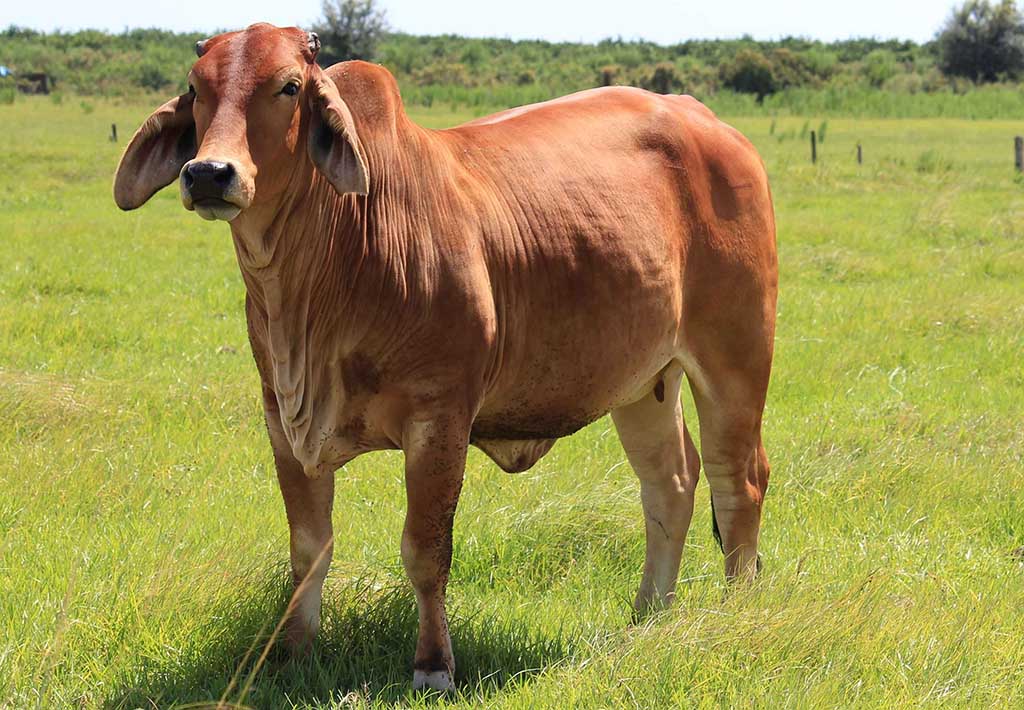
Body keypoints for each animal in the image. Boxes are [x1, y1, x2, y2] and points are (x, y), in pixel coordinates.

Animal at [113, 23, 777, 692]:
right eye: (196, 88)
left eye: (290, 86)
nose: (208, 172)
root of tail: (707, 120)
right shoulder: (283, 419)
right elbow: (309, 548)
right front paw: (294, 652)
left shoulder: (439, 420)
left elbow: (425, 552)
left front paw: (433, 665)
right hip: (645, 382)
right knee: (670, 485)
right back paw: (648, 616)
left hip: (736, 358)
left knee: (739, 482)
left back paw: (738, 612)